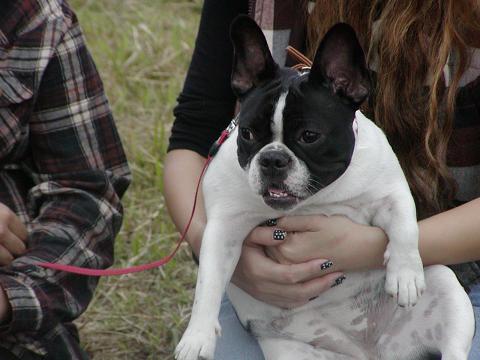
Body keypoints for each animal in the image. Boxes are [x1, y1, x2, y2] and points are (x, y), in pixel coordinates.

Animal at [175, 16, 472, 360]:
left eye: (309, 136)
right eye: (247, 133)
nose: (273, 158)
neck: (315, 199)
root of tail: (370, 352)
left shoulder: (390, 195)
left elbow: (405, 226)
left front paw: (406, 274)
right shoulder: (224, 228)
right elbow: (207, 283)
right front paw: (197, 336)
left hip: (446, 289)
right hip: (290, 352)